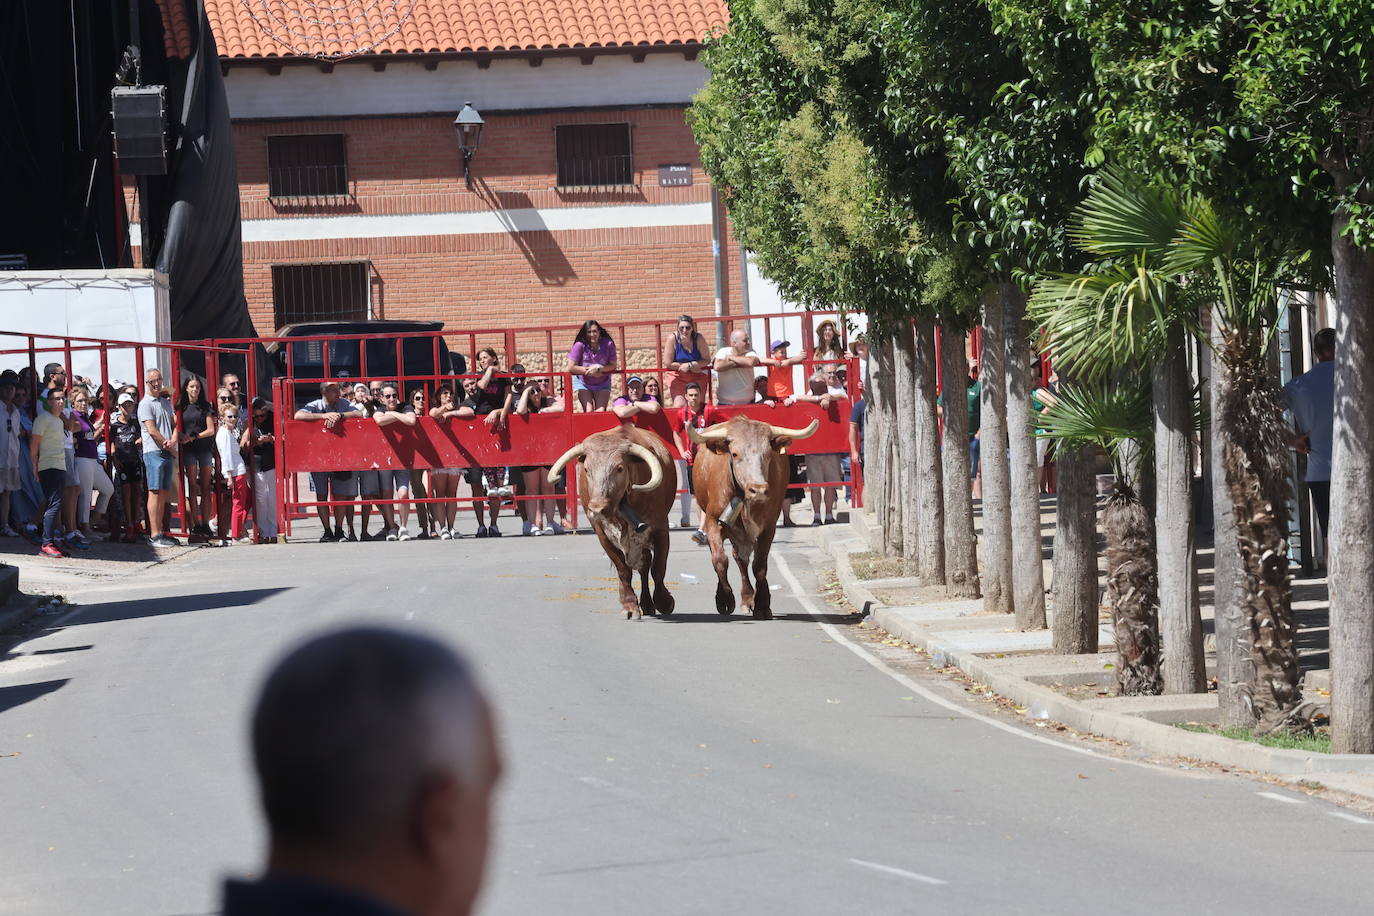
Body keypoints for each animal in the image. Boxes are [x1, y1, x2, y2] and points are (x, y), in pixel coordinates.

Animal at [546, 425, 676, 620]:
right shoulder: (602, 534)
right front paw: (630, 605)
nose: (596, 508)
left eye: (619, 468)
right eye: (586, 469)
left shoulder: (660, 529)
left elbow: (658, 568)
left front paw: (664, 602)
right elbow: (623, 570)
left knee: (646, 565)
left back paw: (648, 603)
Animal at [687, 417, 813, 620]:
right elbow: (719, 560)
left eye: (767, 453)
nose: (759, 489)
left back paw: (749, 599)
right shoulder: (713, 521)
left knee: (743, 560)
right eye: (735, 453)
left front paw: (762, 604)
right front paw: (725, 599)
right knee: (736, 559)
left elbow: (759, 565)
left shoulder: (768, 527)